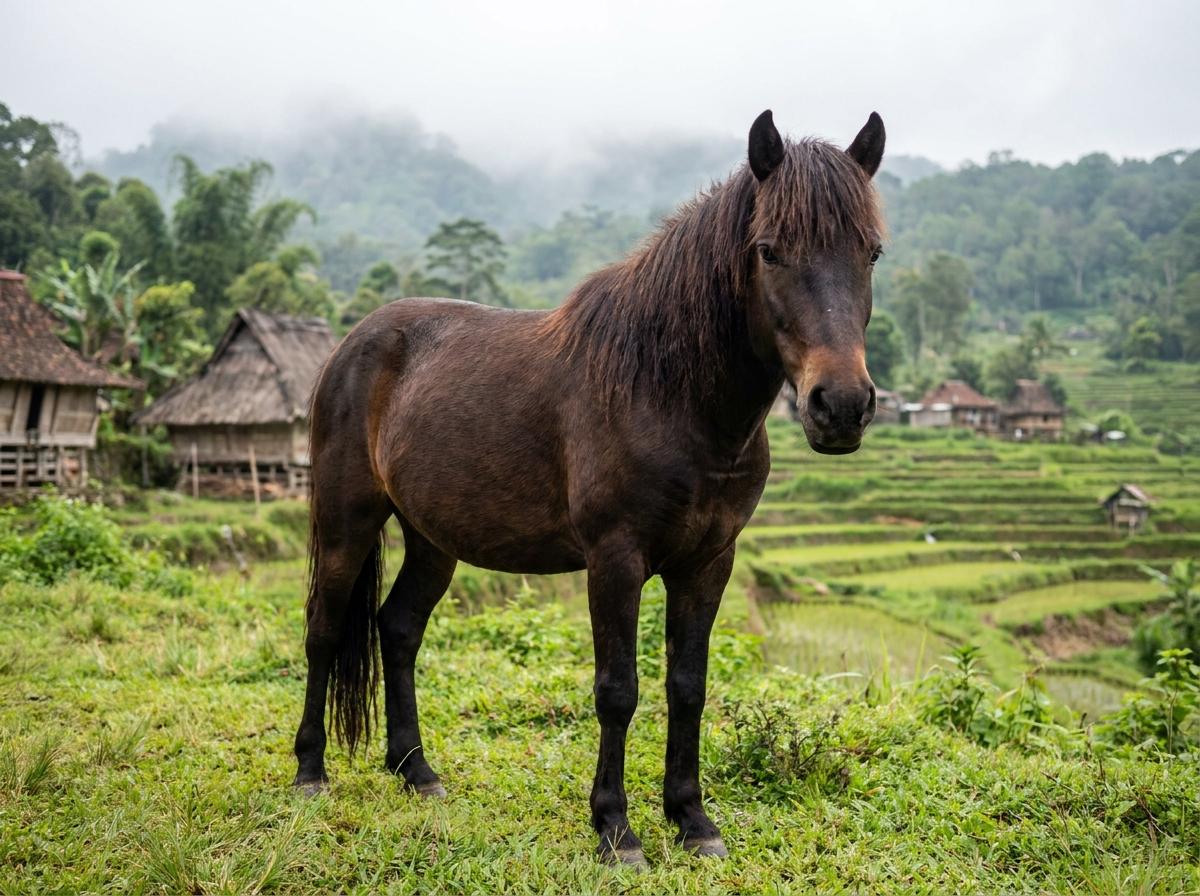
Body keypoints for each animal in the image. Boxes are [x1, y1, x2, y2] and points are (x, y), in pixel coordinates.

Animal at [292, 109, 886, 866]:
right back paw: (311, 771)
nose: (840, 406)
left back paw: (416, 771)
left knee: (396, 629)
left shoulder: (709, 562)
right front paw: (616, 829)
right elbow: (618, 690)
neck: (665, 390)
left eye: (871, 253)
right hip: (348, 519)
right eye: (770, 251)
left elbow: (687, 686)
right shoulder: (615, 559)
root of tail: (353, 342)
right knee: (324, 627)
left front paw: (693, 821)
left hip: (432, 538)